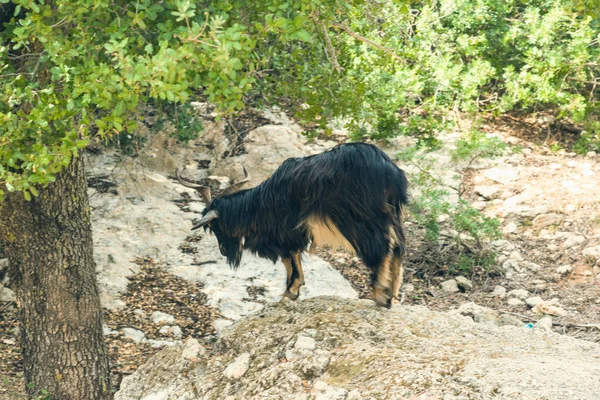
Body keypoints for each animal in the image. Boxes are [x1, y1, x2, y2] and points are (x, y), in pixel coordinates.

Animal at [177, 142, 408, 308]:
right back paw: (392, 295)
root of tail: (390, 172)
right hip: (390, 214)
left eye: (215, 227)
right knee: (398, 247)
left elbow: (290, 258)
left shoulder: (286, 231)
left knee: (383, 247)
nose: (224, 250)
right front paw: (294, 290)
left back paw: (380, 294)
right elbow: (292, 259)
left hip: (358, 218)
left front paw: (290, 291)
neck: (262, 203)